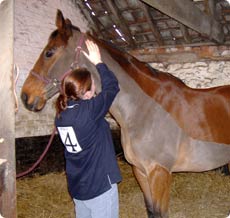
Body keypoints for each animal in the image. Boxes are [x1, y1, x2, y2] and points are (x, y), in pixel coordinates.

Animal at [20, 9, 229, 218]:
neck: (144, 110)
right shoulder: (140, 171)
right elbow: (151, 210)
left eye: (49, 52)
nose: (25, 96)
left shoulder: (159, 173)